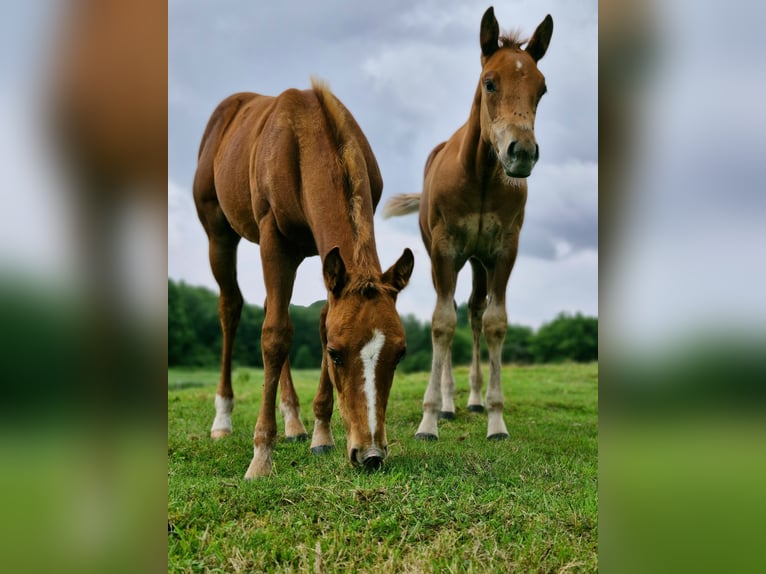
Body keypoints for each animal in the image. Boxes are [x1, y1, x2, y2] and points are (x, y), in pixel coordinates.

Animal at [194, 79, 414, 478]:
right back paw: (223, 419)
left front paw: (321, 434)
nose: (371, 454)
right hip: (219, 234)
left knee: (270, 304)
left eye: (399, 353)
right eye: (336, 355)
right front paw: (261, 455)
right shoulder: (274, 242)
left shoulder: (327, 257)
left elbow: (322, 320)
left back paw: (294, 422)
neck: (306, 138)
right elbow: (275, 334)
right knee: (231, 308)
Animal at [383, 7, 552, 441]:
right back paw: (447, 404)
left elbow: (495, 322)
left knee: (475, 311)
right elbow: (442, 323)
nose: (521, 153)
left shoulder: (505, 250)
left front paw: (496, 418)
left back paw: (473, 400)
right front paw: (428, 419)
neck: (480, 177)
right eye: (489, 82)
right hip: (445, 258)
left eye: (542, 90)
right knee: (453, 310)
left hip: (478, 261)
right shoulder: (444, 251)